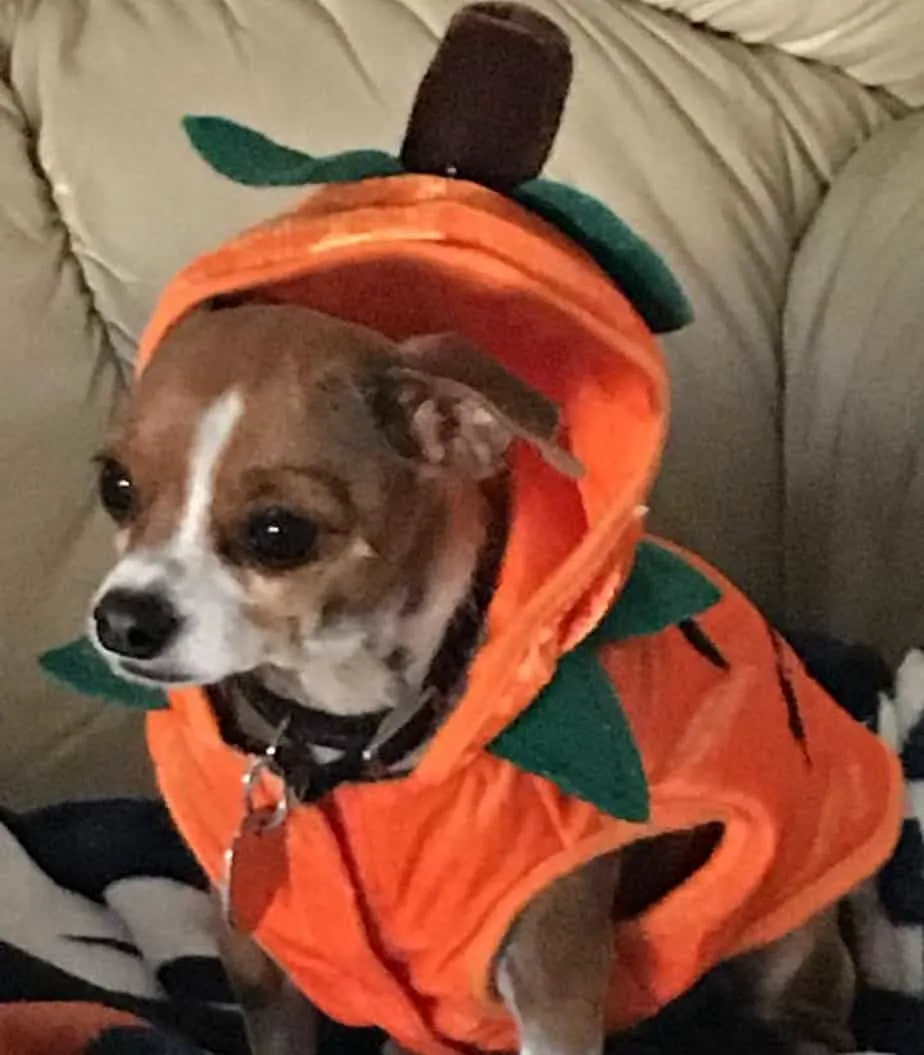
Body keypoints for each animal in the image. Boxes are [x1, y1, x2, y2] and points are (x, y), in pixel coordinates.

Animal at [88, 303, 864, 1055]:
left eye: (279, 531)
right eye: (114, 486)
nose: (123, 620)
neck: (343, 731)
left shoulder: (552, 966)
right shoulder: (255, 958)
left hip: (783, 935)